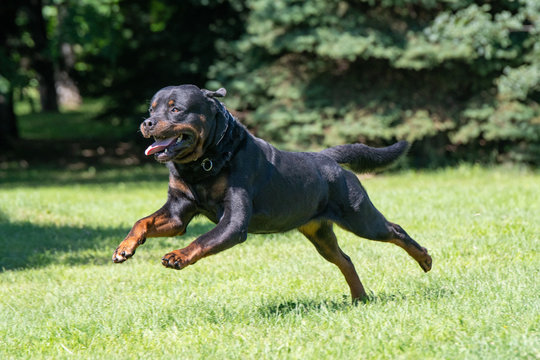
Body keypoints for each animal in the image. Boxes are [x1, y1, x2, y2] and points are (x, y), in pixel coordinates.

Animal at [112, 84, 432, 300]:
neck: (204, 163)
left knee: (394, 230)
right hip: (320, 233)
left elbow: (203, 239)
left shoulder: (234, 222)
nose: (147, 122)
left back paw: (425, 260)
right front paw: (124, 248)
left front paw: (178, 255)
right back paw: (359, 297)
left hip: (359, 216)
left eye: (175, 108)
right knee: (345, 260)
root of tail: (326, 158)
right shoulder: (178, 211)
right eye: (151, 109)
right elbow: (142, 221)